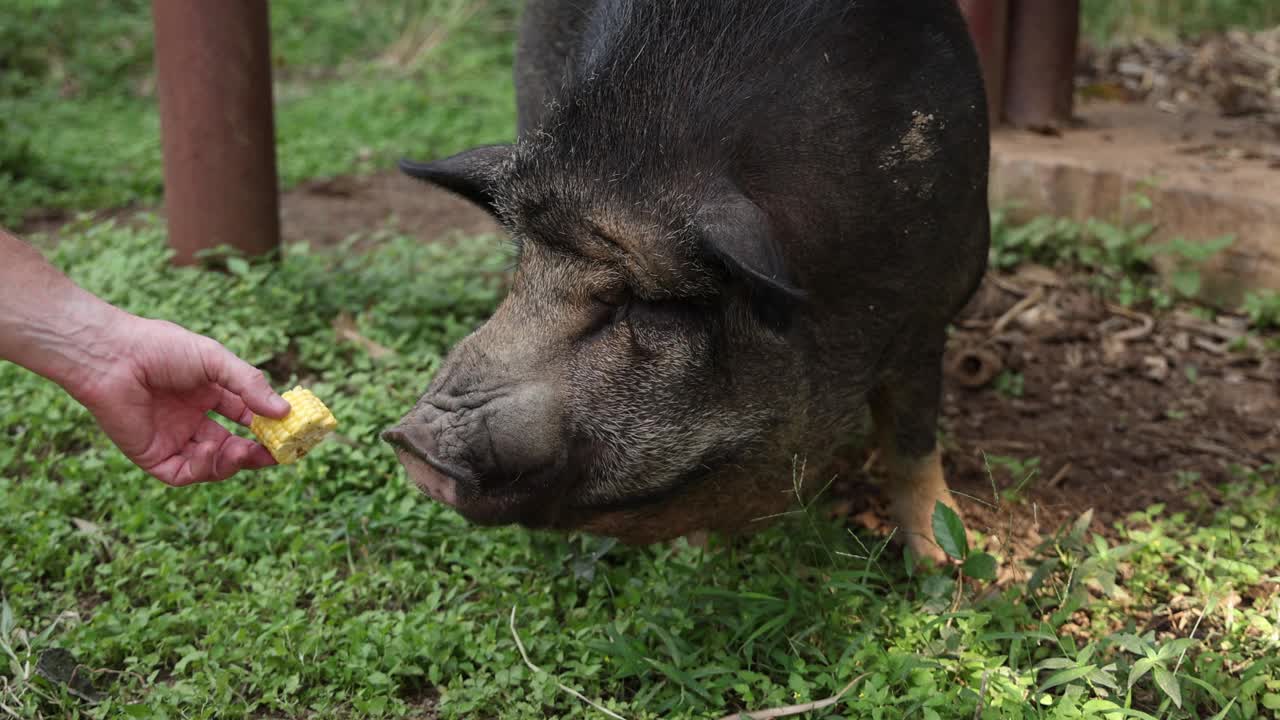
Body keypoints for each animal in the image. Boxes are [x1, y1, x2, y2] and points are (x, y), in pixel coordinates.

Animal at [384, 0, 993, 561]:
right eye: (523, 272)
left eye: (639, 303)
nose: (411, 439)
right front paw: (693, 554)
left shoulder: (932, 306)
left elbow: (912, 439)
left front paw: (949, 561)